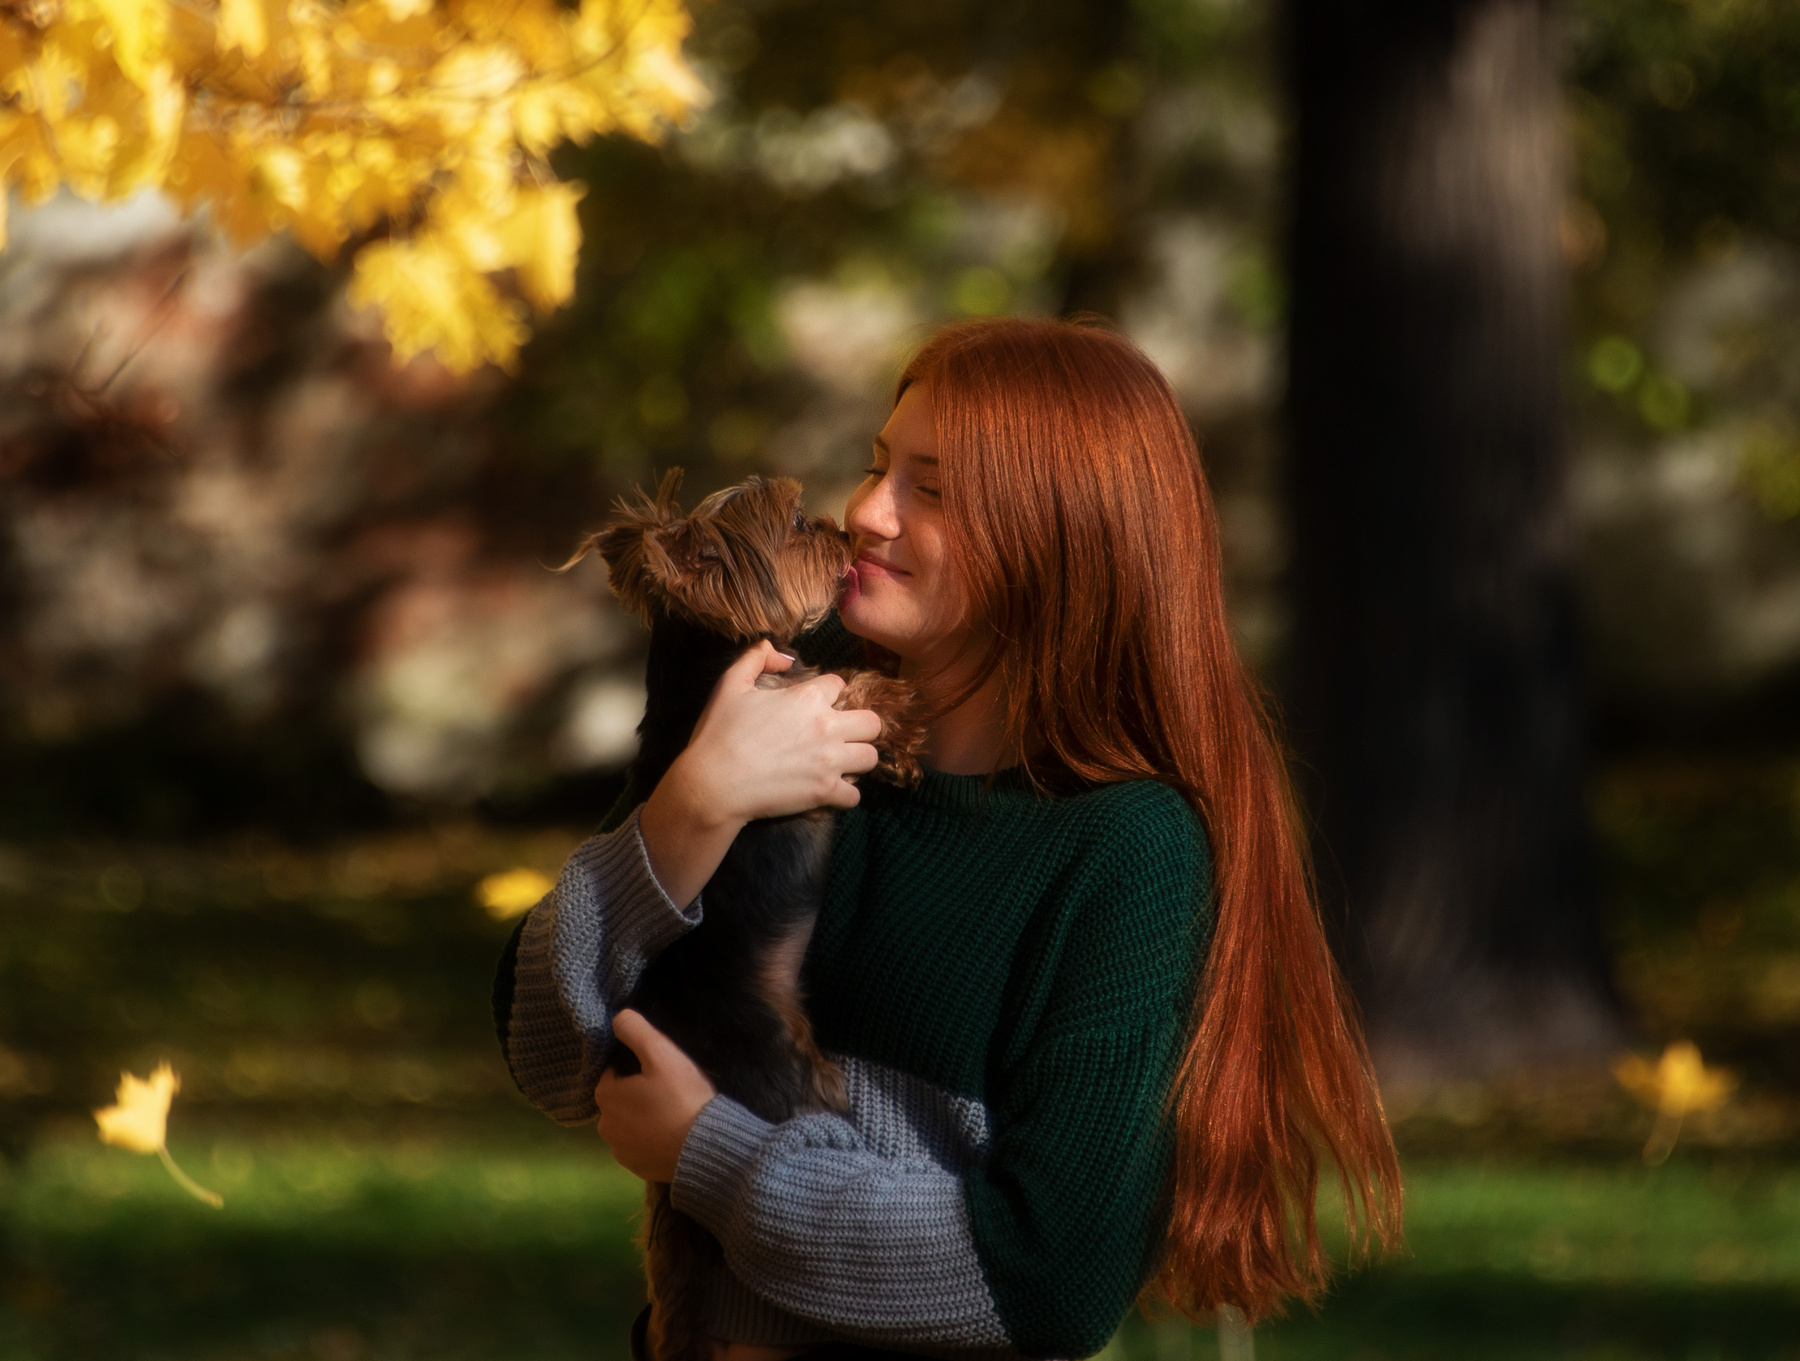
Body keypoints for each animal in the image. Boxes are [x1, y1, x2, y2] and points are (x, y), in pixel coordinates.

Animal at [572, 470, 923, 1361]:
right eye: (797, 521)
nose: (841, 528)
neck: (712, 657)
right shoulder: (793, 712)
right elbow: (848, 694)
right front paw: (900, 708)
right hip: (794, 1082)